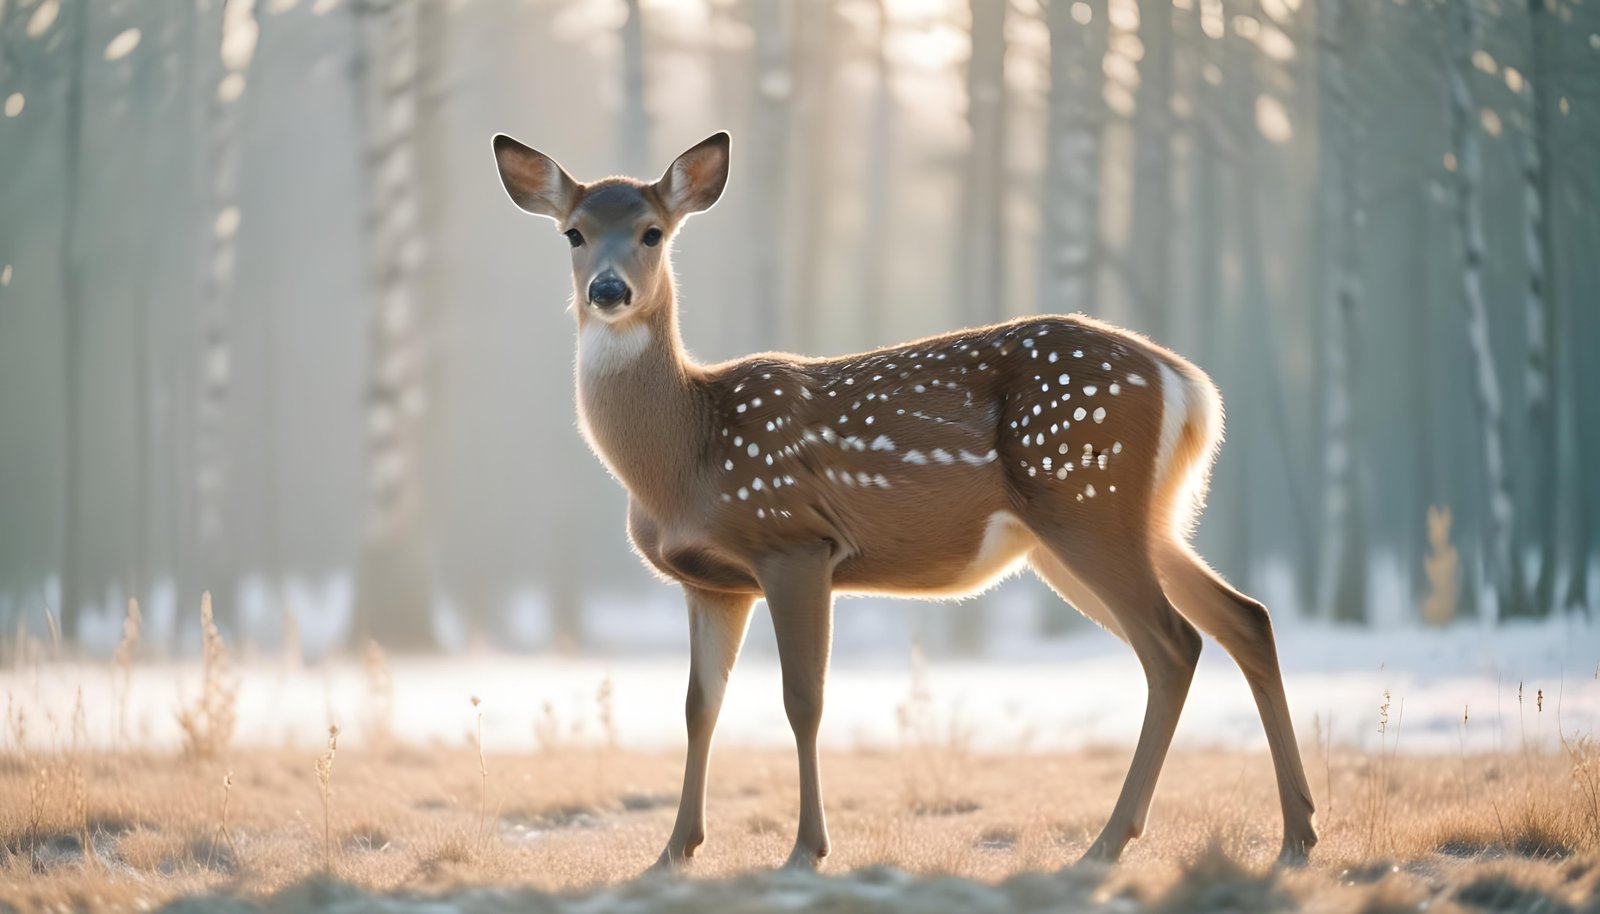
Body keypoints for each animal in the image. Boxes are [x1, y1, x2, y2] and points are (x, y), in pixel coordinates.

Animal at [490, 131, 1318, 870]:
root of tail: (1186, 383)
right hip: (1131, 522)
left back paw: (1108, 845)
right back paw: (1296, 835)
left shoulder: (794, 540)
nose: (608, 290)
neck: (685, 451)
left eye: (653, 232)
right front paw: (672, 852)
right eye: (573, 232)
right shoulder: (711, 583)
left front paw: (805, 850)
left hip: (1086, 500)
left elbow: (803, 699)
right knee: (1243, 618)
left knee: (1174, 644)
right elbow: (699, 707)